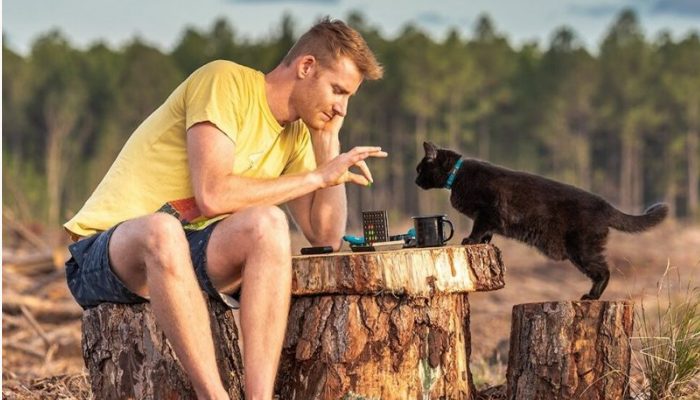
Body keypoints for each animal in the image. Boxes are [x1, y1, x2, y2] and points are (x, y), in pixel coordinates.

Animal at [416, 142, 668, 298]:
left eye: (420, 169)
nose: (415, 180)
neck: (457, 175)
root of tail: (605, 205)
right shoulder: (490, 218)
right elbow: (487, 232)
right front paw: (484, 243)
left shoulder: (487, 211)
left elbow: (478, 228)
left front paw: (470, 240)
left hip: (582, 248)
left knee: (604, 271)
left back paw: (591, 296)